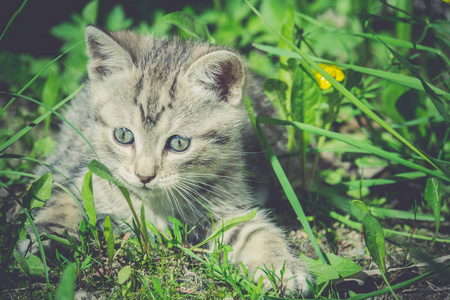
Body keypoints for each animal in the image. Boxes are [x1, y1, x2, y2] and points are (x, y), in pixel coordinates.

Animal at [18, 25, 312, 296]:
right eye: (123, 135)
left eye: (179, 143)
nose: (144, 175)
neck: (154, 205)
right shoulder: (82, 177)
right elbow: (62, 201)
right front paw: (43, 237)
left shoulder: (230, 206)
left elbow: (256, 232)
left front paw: (281, 266)